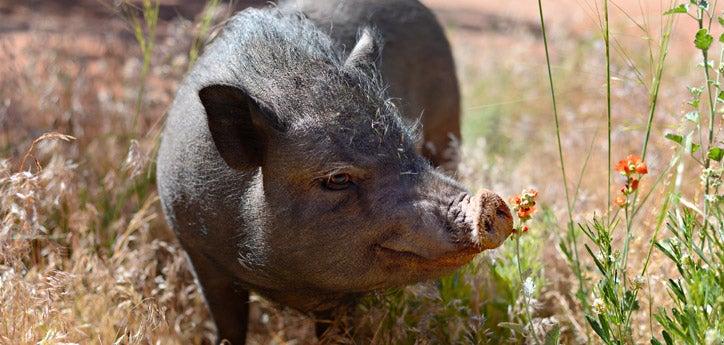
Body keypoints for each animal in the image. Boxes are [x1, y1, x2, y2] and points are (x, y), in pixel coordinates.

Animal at [156, 1, 512, 342]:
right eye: (337, 178)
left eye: (408, 145)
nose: (490, 201)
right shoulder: (196, 250)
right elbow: (228, 326)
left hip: (448, 132)